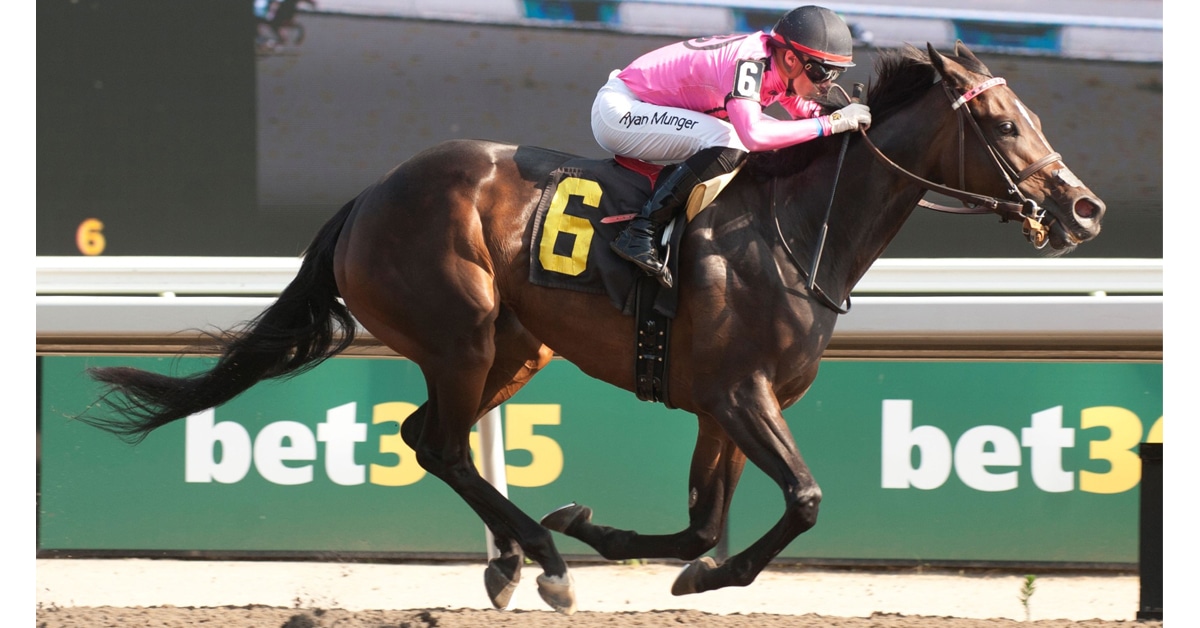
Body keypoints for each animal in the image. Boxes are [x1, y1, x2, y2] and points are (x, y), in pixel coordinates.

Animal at [79, 42, 1105, 615]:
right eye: (1005, 125)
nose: (1085, 209)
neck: (798, 226)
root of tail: (372, 193)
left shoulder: (721, 407)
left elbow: (700, 529)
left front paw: (623, 544)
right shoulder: (741, 392)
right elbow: (803, 501)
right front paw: (599, 544)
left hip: (517, 346)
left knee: (430, 436)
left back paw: (515, 558)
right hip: (462, 330)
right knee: (439, 440)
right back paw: (539, 560)